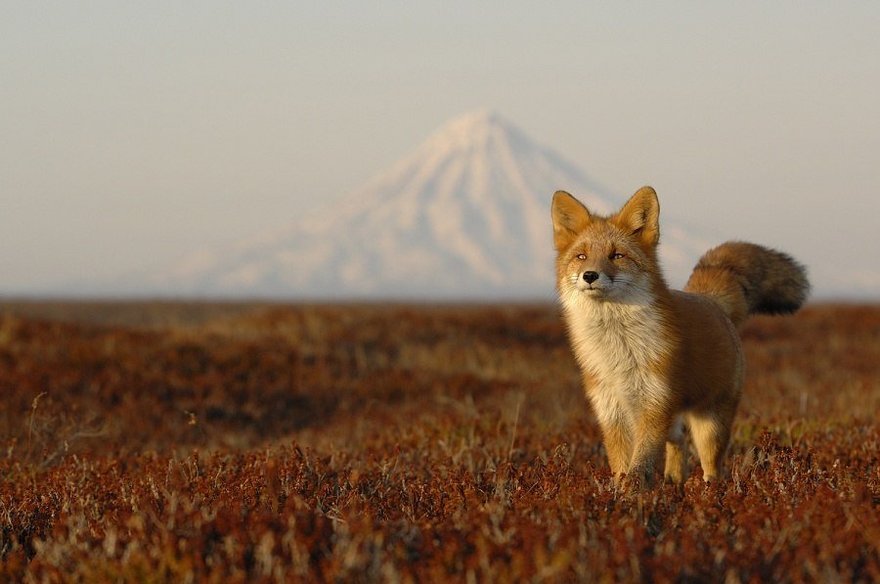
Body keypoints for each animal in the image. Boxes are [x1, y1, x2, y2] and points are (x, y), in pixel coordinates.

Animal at [552, 186, 808, 484]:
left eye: (617, 256)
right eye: (581, 256)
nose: (590, 275)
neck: (619, 351)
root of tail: (709, 299)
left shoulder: (654, 404)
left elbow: (640, 465)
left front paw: (633, 493)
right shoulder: (611, 411)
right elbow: (621, 466)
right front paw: (617, 492)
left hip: (710, 424)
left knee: (712, 467)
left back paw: (708, 491)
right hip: (675, 420)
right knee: (679, 447)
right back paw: (674, 484)